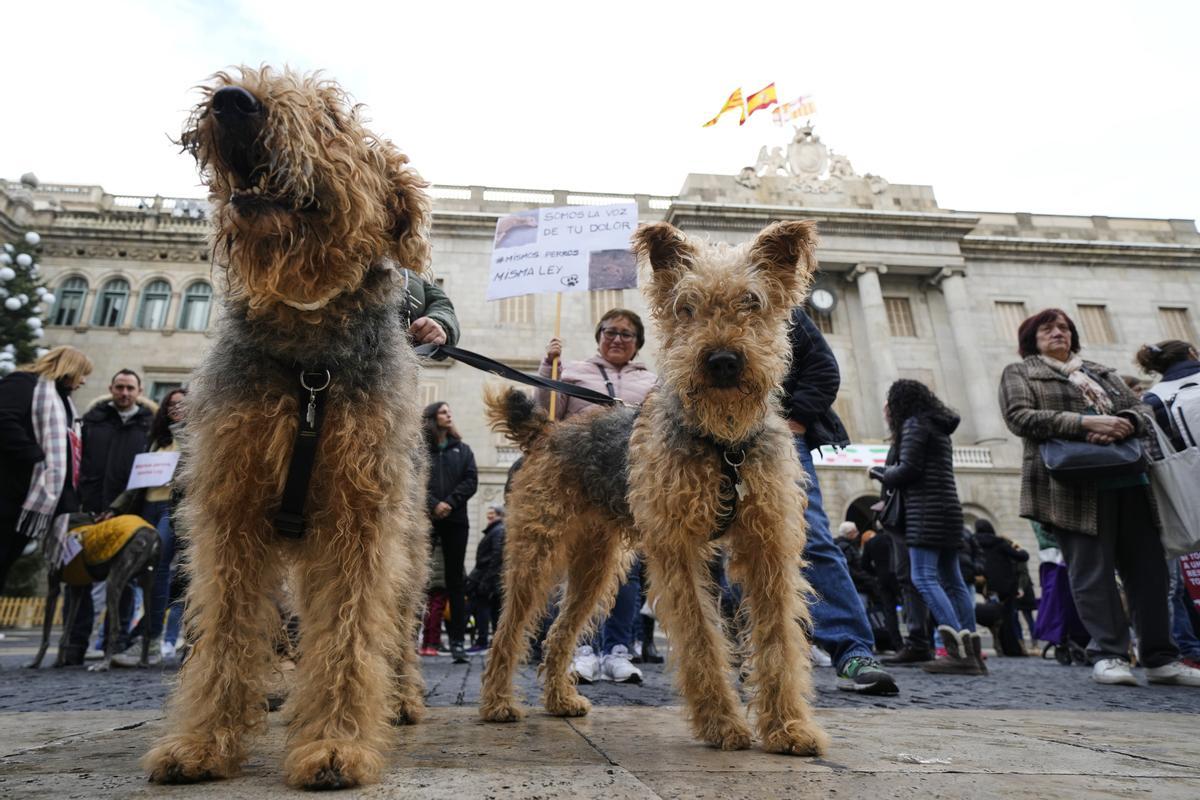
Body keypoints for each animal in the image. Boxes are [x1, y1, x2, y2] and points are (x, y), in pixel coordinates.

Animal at [29, 513, 159, 671]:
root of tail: (152, 536)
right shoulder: (77, 588)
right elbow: (67, 630)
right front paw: (59, 661)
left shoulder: (53, 587)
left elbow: (46, 635)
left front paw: (35, 662)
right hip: (147, 584)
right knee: (148, 627)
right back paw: (143, 662)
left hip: (113, 581)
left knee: (115, 627)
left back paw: (104, 664)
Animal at [141, 67, 432, 786]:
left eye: (333, 118)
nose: (233, 102)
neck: (308, 364)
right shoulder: (231, 511)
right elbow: (224, 631)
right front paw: (202, 742)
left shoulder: (360, 521)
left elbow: (350, 636)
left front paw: (334, 746)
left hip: (409, 551)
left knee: (396, 634)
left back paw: (402, 699)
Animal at [482, 219, 830, 758]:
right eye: (686, 307)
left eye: (751, 301)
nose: (723, 361)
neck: (724, 446)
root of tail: (547, 430)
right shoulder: (677, 547)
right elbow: (702, 638)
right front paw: (723, 725)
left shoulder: (768, 547)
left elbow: (778, 643)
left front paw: (788, 727)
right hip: (535, 553)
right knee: (509, 630)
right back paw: (498, 703)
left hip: (596, 564)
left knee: (561, 632)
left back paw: (560, 699)